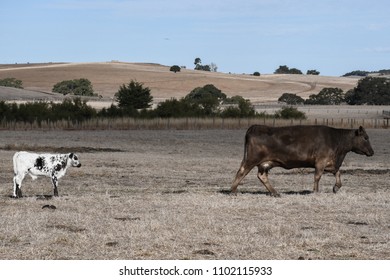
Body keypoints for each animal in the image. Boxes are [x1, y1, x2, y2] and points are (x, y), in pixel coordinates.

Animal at [232, 126, 374, 196]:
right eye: (366, 138)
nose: (372, 152)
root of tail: (255, 127)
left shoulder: (330, 163)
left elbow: (338, 173)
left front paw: (335, 187)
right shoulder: (321, 161)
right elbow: (317, 176)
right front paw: (316, 191)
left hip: (265, 164)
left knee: (262, 176)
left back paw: (275, 193)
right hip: (251, 159)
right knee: (242, 171)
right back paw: (233, 190)